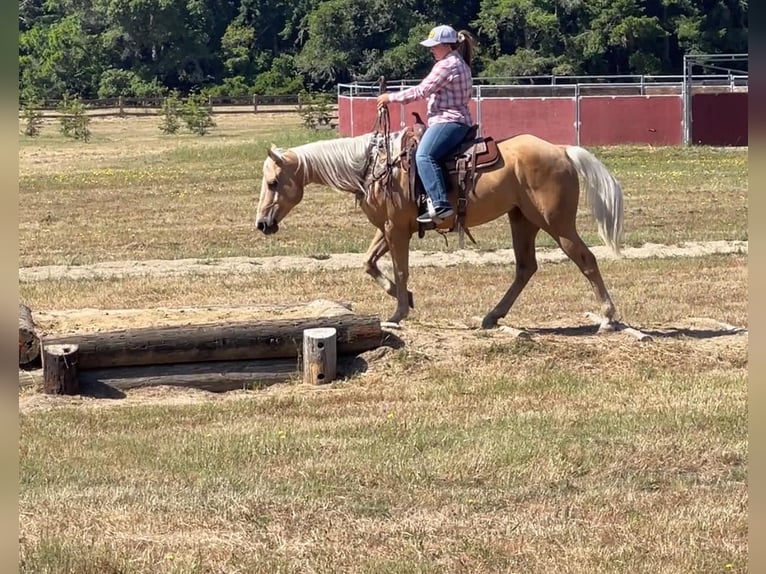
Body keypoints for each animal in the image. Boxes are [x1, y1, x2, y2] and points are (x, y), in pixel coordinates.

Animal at [255, 124, 628, 330]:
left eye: (273, 183)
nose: (262, 223)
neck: (374, 166)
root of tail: (563, 151)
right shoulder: (389, 227)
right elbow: (369, 263)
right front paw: (405, 299)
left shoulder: (396, 230)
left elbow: (401, 269)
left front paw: (398, 312)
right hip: (522, 220)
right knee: (525, 267)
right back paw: (492, 316)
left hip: (557, 223)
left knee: (586, 259)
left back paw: (608, 317)